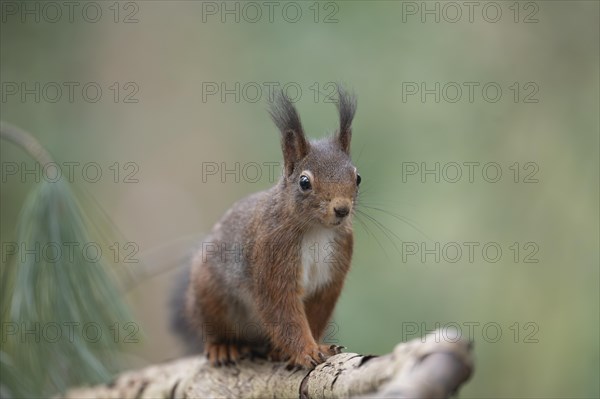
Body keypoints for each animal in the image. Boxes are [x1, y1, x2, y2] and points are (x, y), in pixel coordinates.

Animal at [180, 86, 358, 370]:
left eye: (358, 178)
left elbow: (316, 312)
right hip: (210, 296)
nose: (342, 209)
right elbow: (281, 309)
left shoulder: (331, 274)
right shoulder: (271, 255)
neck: (316, 230)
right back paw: (222, 346)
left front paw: (316, 347)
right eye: (304, 182)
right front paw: (307, 351)